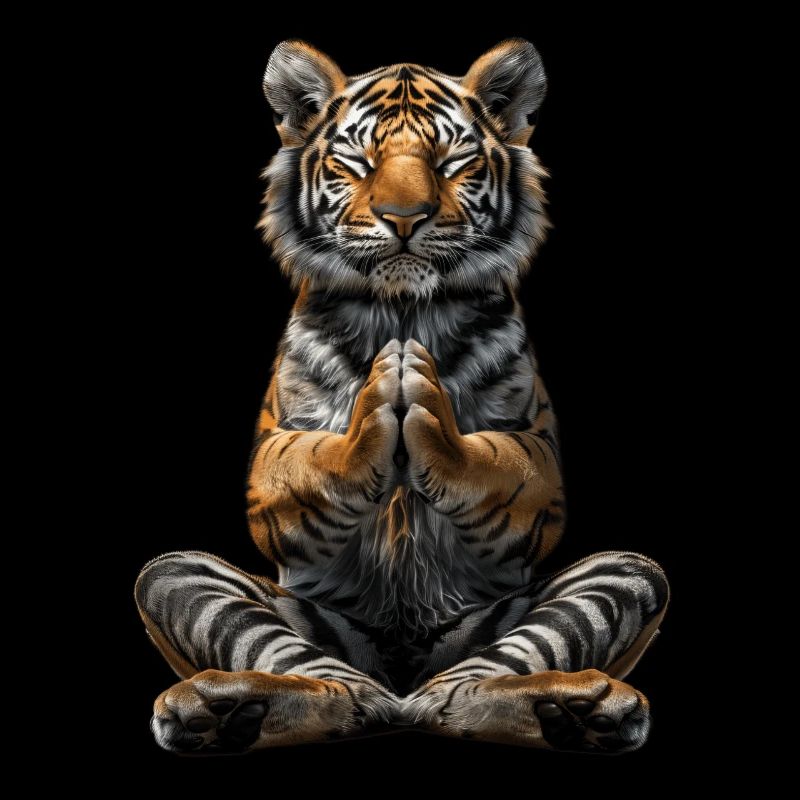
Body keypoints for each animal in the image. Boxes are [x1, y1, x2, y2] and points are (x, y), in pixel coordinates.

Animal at [135, 38, 669, 755]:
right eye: (357, 162)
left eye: (451, 162)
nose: (405, 219)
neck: (402, 309)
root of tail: (402, 685)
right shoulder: (274, 449)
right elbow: (308, 462)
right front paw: (379, 397)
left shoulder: (538, 453)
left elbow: (497, 461)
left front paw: (421, 393)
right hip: (187, 576)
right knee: (332, 679)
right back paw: (227, 706)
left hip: (617, 576)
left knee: (465, 685)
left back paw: (577, 707)